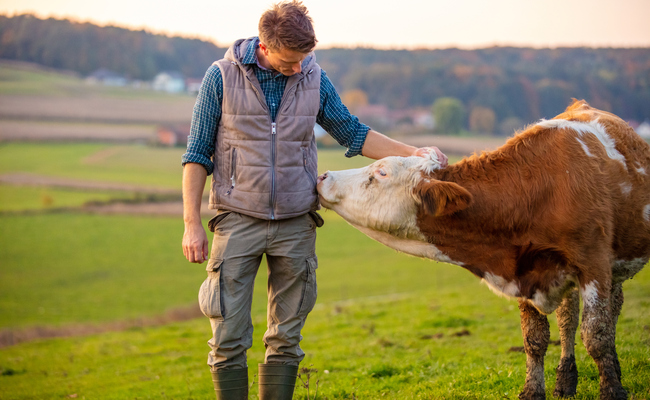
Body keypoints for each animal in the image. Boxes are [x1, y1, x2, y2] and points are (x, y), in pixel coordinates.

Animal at [316, 100, 649, 400]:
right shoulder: (522, 267)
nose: (324, 176)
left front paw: (612, 390)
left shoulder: (593, 264)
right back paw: (566, 382)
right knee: (569, 318)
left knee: (607, 313)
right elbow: (534, 339)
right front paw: (533, 390)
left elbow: (596, 335)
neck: (537, 191)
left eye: (382, 172)